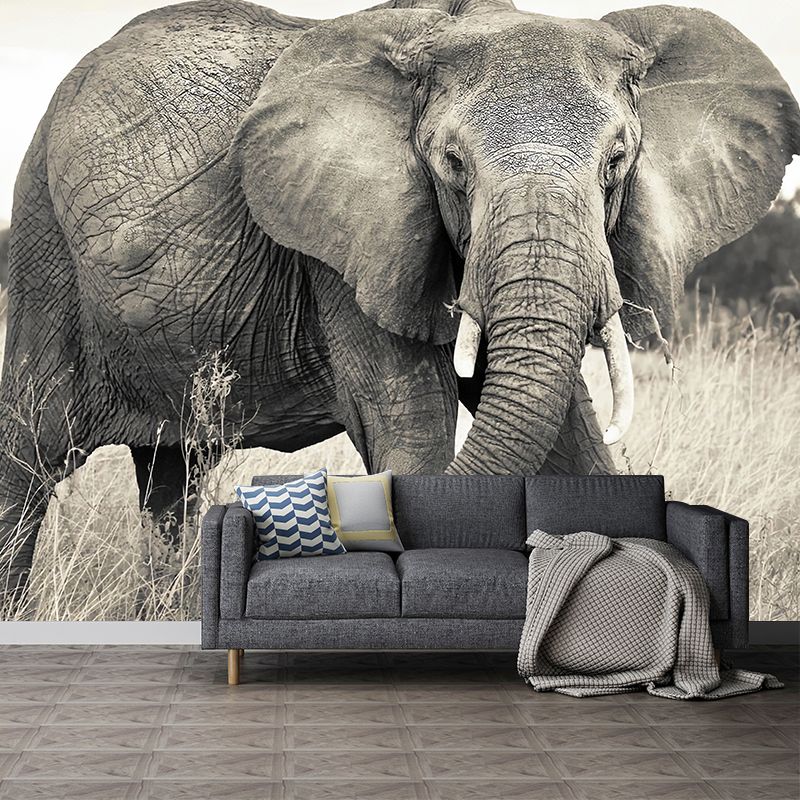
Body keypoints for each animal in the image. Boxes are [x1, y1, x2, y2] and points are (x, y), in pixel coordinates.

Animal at [1, 0, 798, 607]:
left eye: (617, 161)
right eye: (451, 164)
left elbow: (571, 437)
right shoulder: (347, 251)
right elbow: (410, 427)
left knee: (173, 480)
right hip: (44, 249)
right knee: (30, 455)